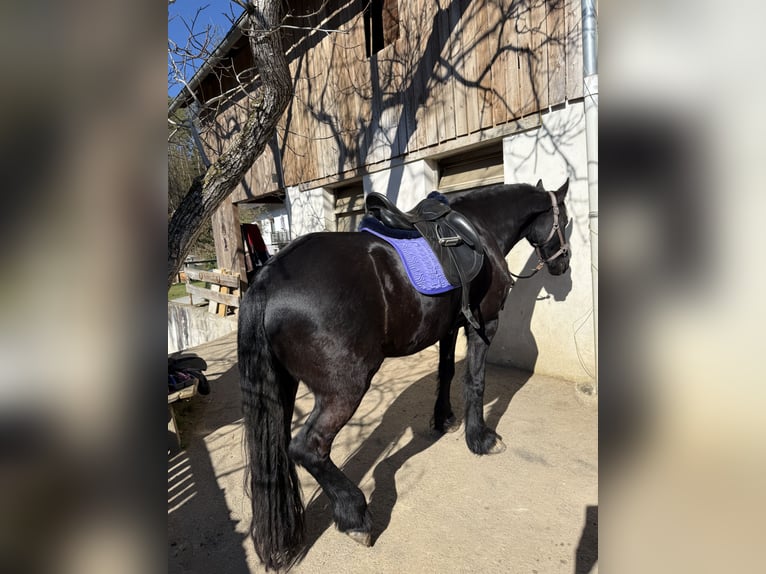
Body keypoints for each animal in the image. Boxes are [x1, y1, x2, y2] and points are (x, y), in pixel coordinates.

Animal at [237, 179, 571, 570]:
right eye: (565, 220)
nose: (564, 265)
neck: (481, 228)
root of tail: (267, 278)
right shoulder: (484, 324)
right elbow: (475, 382)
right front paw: (481, 438)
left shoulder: (450, 326)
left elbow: (446, 371)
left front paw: (443, 419)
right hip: (345, 388)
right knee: (307, 447)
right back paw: (355, 516)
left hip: (283, 388)